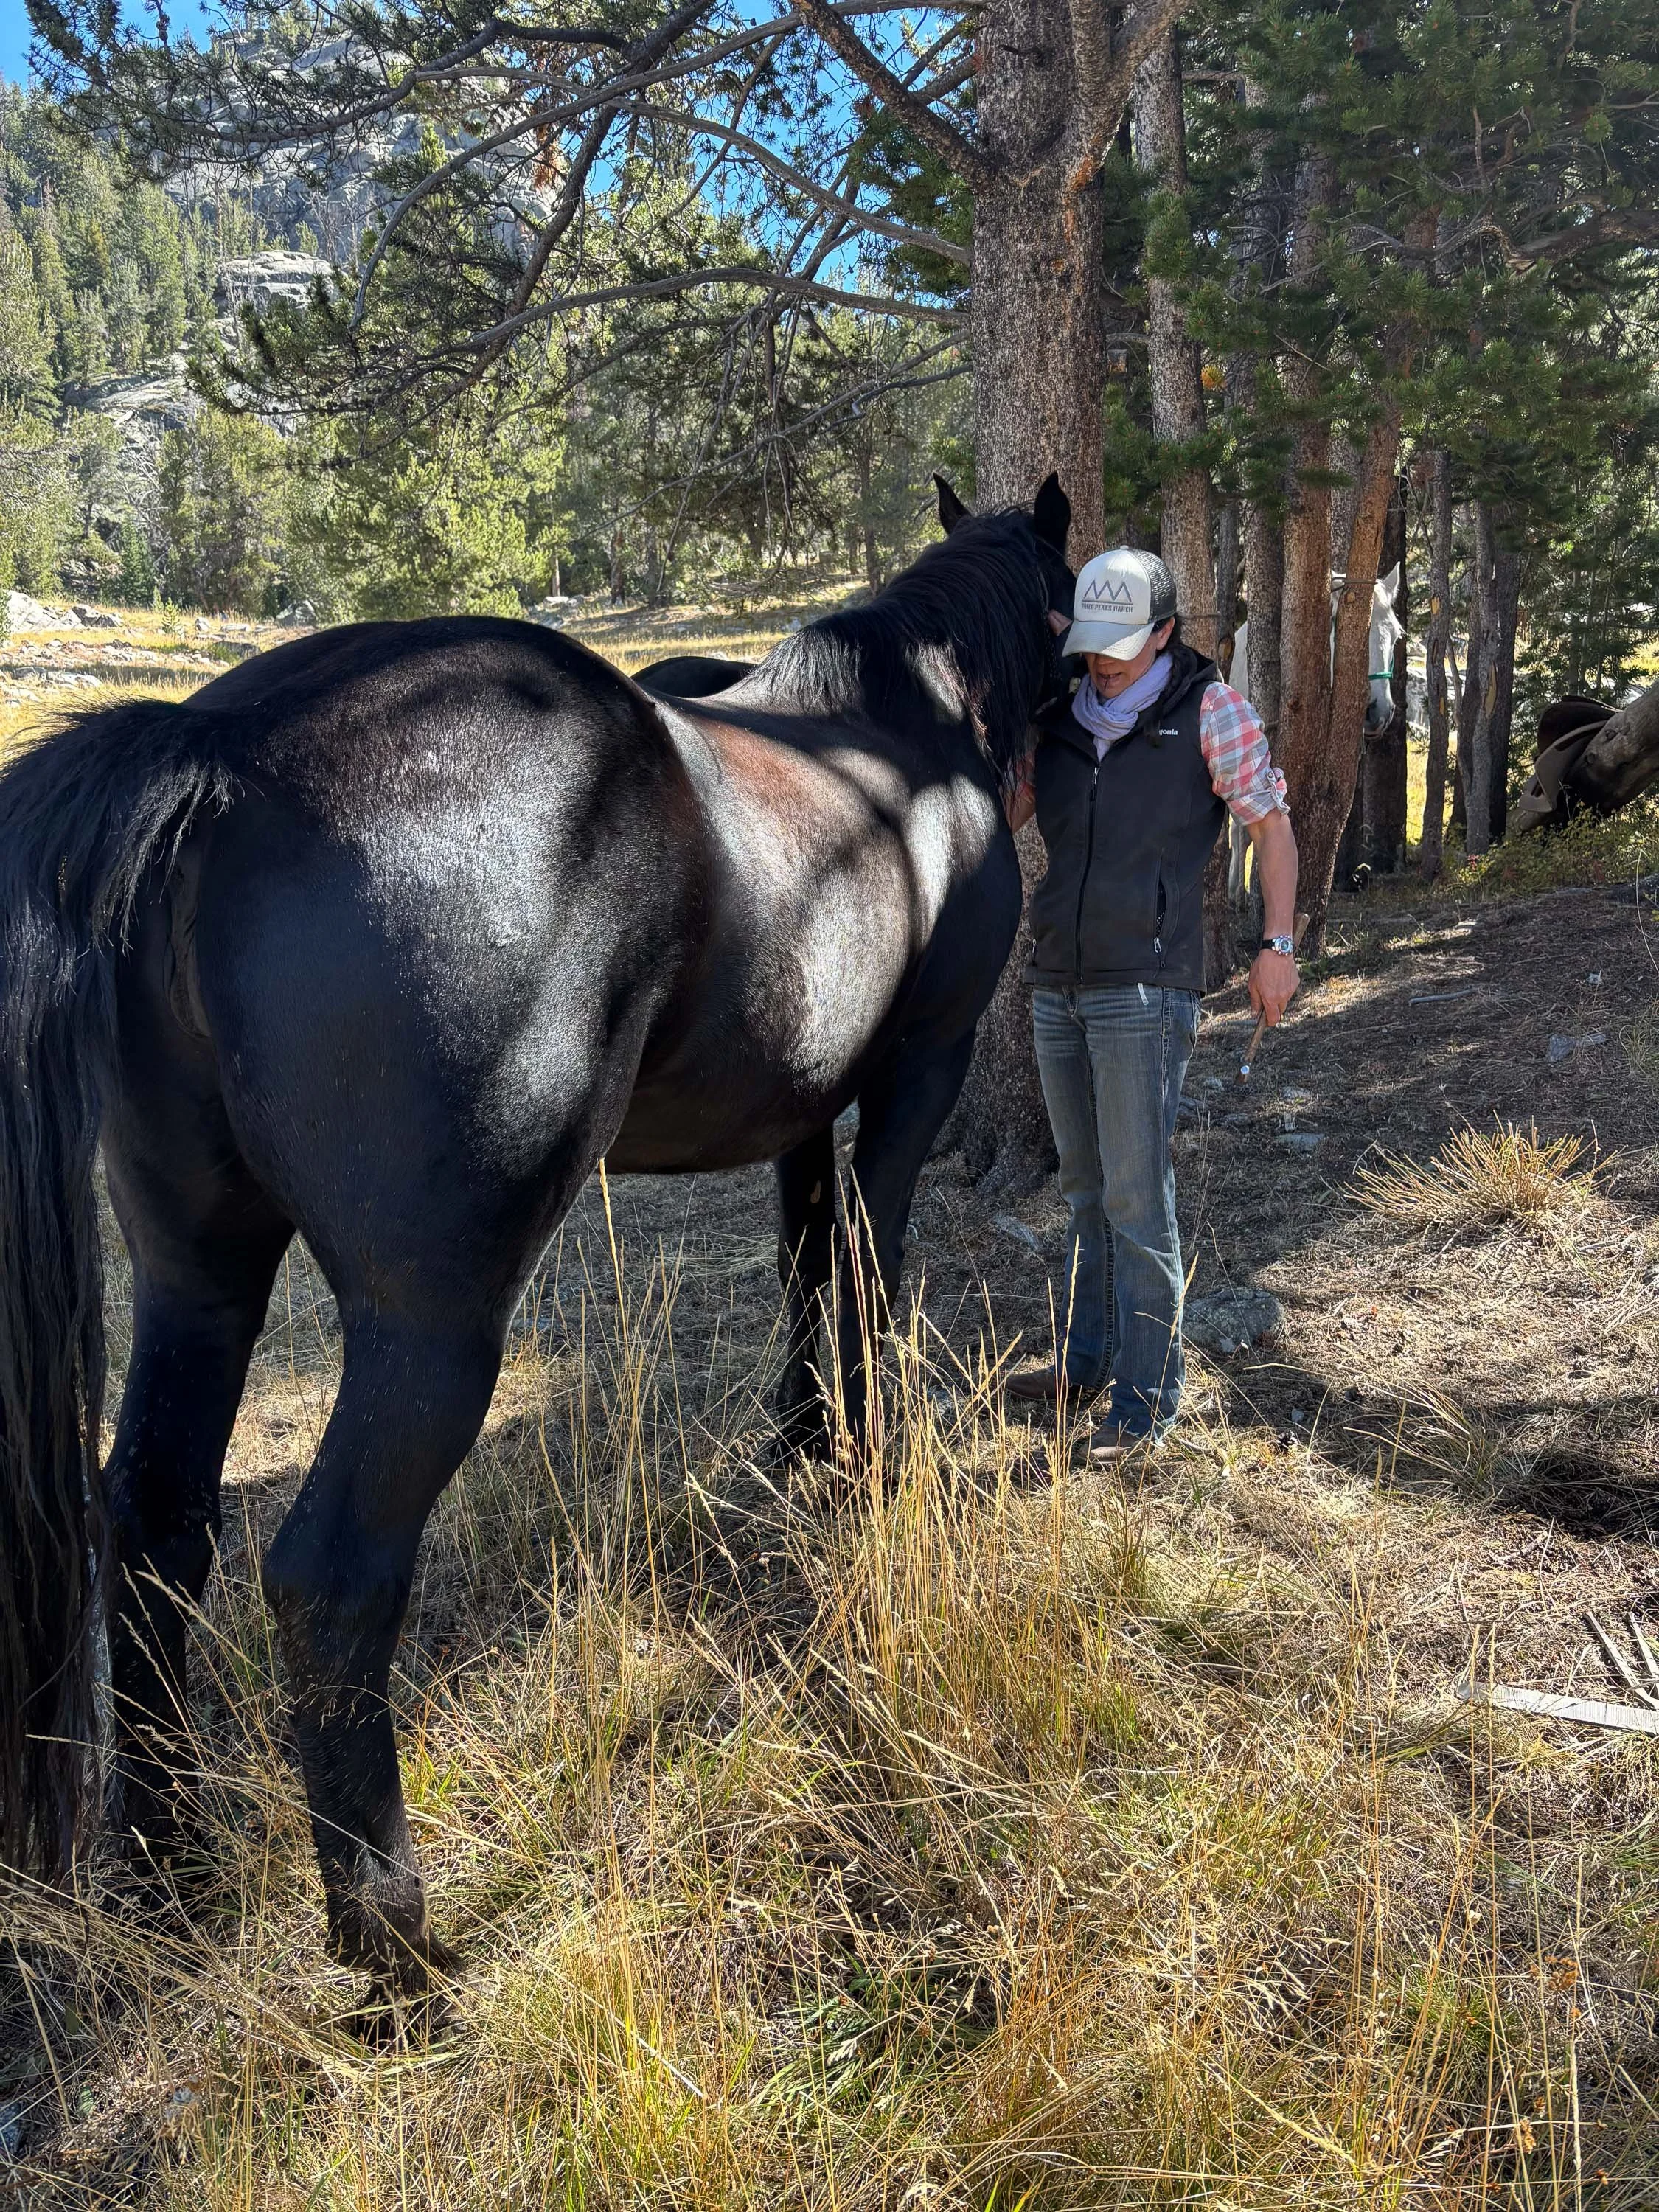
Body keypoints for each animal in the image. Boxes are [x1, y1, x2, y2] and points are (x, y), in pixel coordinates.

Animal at [0, 473, 1075, 2022]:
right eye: (1071, 593)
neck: (903, 745)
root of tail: (215, 754)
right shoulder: (913, 1079)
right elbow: (869, 1265)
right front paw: (865, 1456)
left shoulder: (805, 1109)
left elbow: (809, 1265)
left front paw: (802, 1442)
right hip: (431, 1322)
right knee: (327, 1579)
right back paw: (396, 1956)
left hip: (197, 1268)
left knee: (155, 1530)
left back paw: (171, 1883)